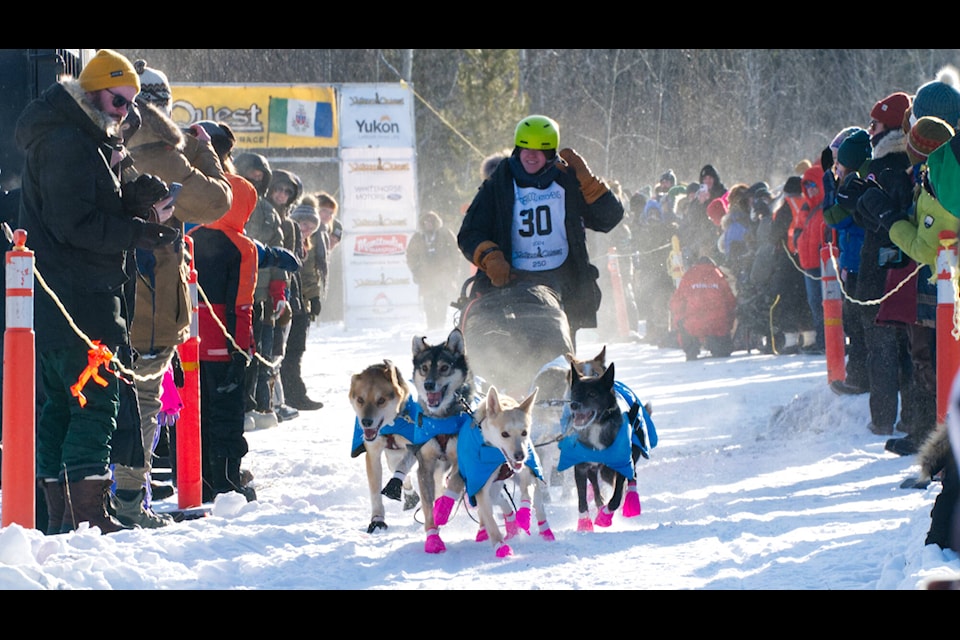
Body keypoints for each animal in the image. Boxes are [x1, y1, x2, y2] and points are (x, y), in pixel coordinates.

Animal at [348, 360, 416, 536]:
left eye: (381, 400)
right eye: (360, 399)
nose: (366, 422)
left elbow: (402, 467)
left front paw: (394, 485)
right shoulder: (373, 454)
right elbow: (374, 492)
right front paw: (377, 520)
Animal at [460, 388, 552, 556]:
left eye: (524, 432)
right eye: (504, 434)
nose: (520, 455)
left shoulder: (526, 473)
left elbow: (526, 493)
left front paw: (524, 515)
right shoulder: (481, 487)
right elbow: (491, 522)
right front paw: (500, 546)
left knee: (538, 506)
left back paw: (545, 532)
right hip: (492, 491)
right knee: (499, 502)